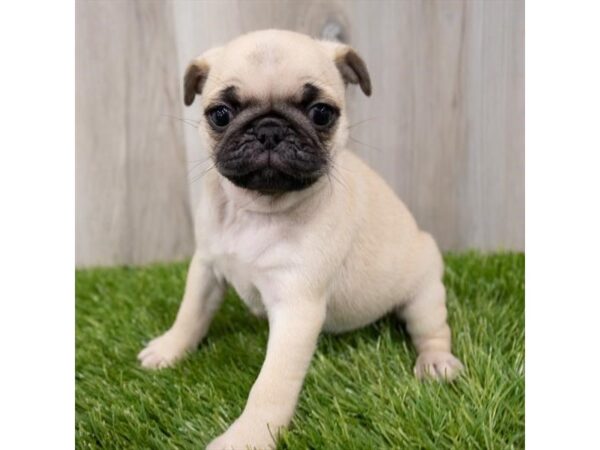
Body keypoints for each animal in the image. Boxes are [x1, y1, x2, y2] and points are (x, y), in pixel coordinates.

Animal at [137, 29, 464, 448]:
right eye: (221, 115)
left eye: (321, 113)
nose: (269, 129)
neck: (258, 209)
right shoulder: (207, 266)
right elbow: (191, 313)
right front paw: (170, 348)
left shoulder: (297, 307)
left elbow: (271, 385)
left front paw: (247, 436)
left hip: (423, 291)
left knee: (432, 328)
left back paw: (435, 362)